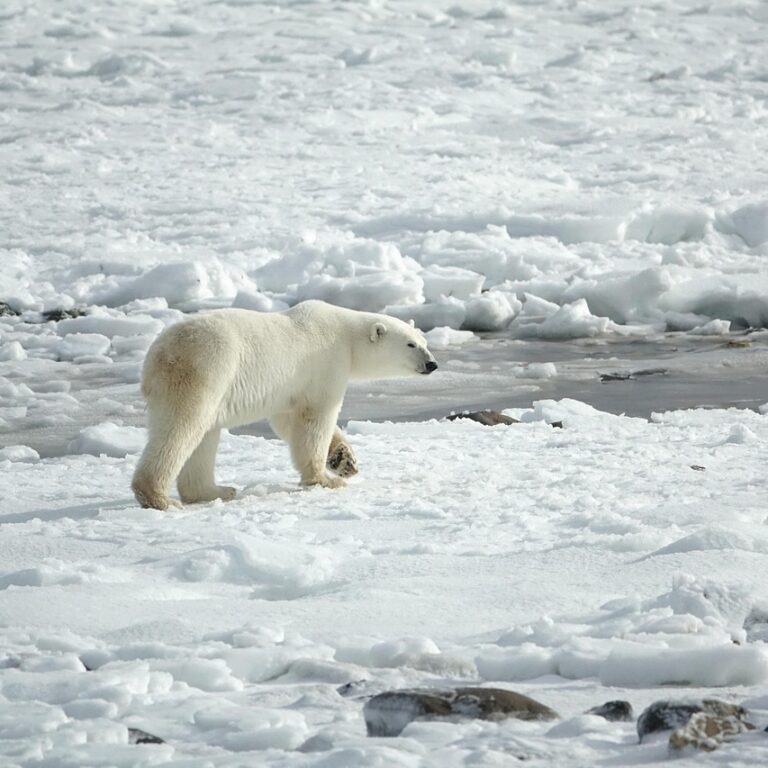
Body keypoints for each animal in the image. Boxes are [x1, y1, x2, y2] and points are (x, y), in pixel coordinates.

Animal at [132, 300, 438, 510]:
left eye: (424, 341)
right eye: (410, 345)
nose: (432, 364)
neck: (347, 336)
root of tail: (158, 355)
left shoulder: (289, 388)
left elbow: (288, 421)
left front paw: (344, 460)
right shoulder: (325, 364)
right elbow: (315, 418)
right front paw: (326, 479)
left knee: (204, 435)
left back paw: (216, 491)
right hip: (205, 369)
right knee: (183, 428)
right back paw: (159, 498)